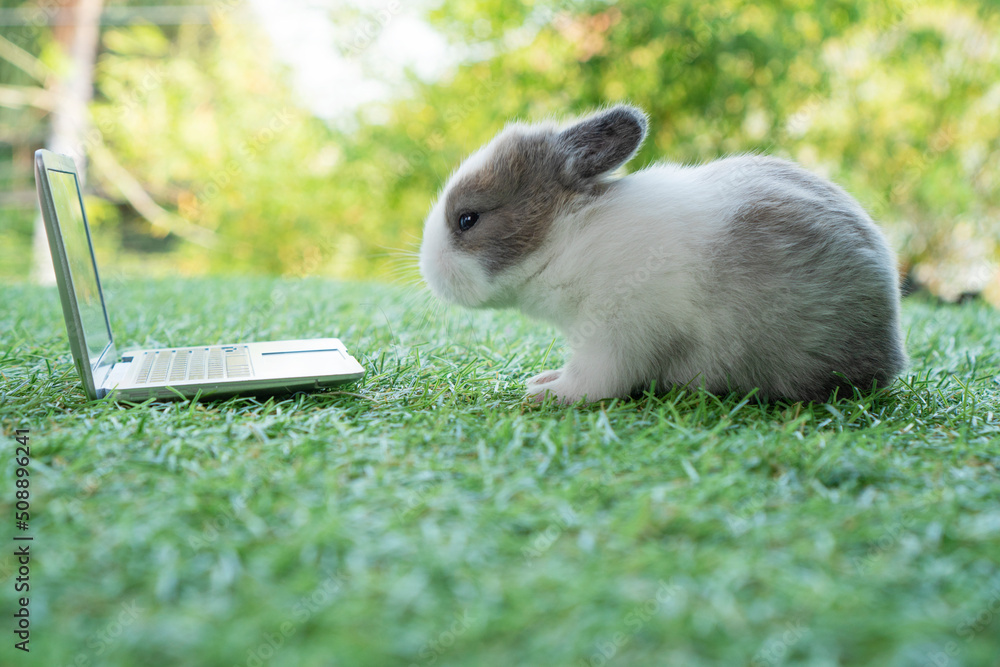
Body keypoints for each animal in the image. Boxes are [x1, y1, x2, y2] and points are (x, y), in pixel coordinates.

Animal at [418, 104, 908, 404]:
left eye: (467, 219)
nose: (428, 271)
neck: (565, 238)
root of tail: (891, 348)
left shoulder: (613, 335)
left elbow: (593, 381)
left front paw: (548, 393)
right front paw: (543, 380)